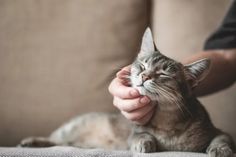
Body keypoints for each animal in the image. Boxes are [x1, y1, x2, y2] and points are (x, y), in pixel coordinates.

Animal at [19, 27, 235, 156]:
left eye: (164, 73)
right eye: (143, 65)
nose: (144, 76)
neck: (165, 123)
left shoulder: (218, 131)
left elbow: (223, 139)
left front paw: (220, 149)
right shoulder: (135, 131)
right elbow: (140, 135)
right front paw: (144, 143)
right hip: (70, 128)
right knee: (55, 139)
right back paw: (30, 141)